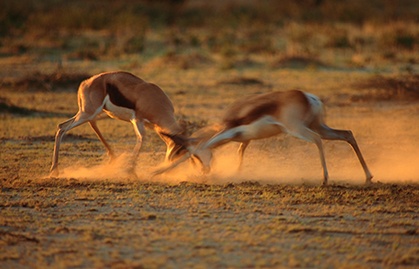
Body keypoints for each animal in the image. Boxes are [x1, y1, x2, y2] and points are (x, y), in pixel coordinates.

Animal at [49, 70, 192, 177]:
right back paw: (54, 170)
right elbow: (141, 139)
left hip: (101, 114)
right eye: (179, 151)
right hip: (88, 113)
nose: (168, 169)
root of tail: (85, 82)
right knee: (62, 127)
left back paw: (113, 158)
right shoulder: (137, 121)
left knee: (90, 123)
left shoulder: (155, 127)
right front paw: (130, 172)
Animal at [154, 89, 374, 184]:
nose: (205, 171)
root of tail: (308, 96)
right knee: (347, 134)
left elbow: (204, 144)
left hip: (298, 129)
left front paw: (157, 171)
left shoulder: (227, 131)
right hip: (319, 126)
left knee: (317, 140)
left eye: (196, 158)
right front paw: (236, 174)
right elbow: (240, 154)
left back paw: (325, 178)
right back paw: (368, 176)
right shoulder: (244, 139)